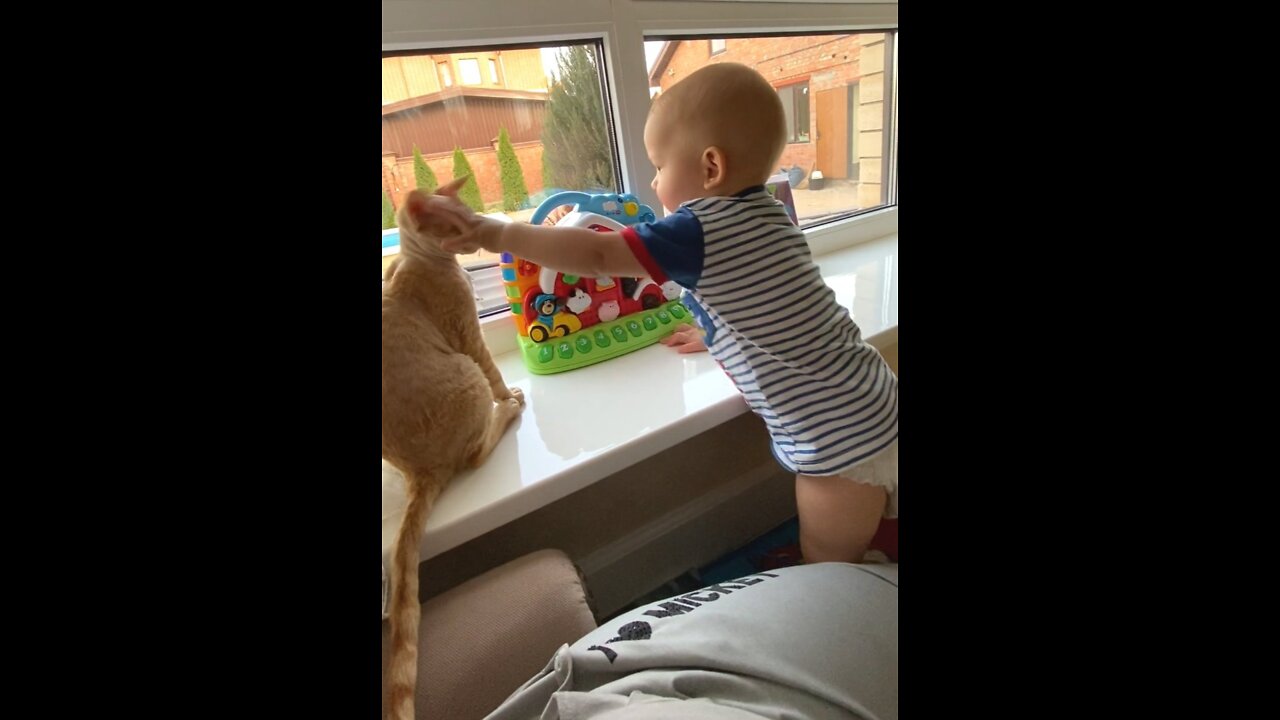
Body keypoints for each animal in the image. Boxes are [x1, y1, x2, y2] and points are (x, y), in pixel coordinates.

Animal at [378, 178, 524, 717]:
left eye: (466, 215)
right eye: (454, 226)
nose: (480, 233)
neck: (418, 261)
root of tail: (418, 472)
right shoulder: (467, 335)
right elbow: (495, 370)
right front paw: (511, 393)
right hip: (465, 377)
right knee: (478, 450)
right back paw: (509, 410)